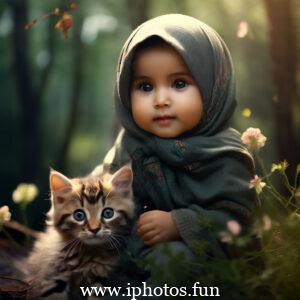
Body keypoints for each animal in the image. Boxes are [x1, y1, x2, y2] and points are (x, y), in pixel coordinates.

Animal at [25, 164, 134, 298]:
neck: (88, 253)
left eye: (108, 213)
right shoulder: (51, 276)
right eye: (79, 215)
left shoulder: (99, 279)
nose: (94, 229)